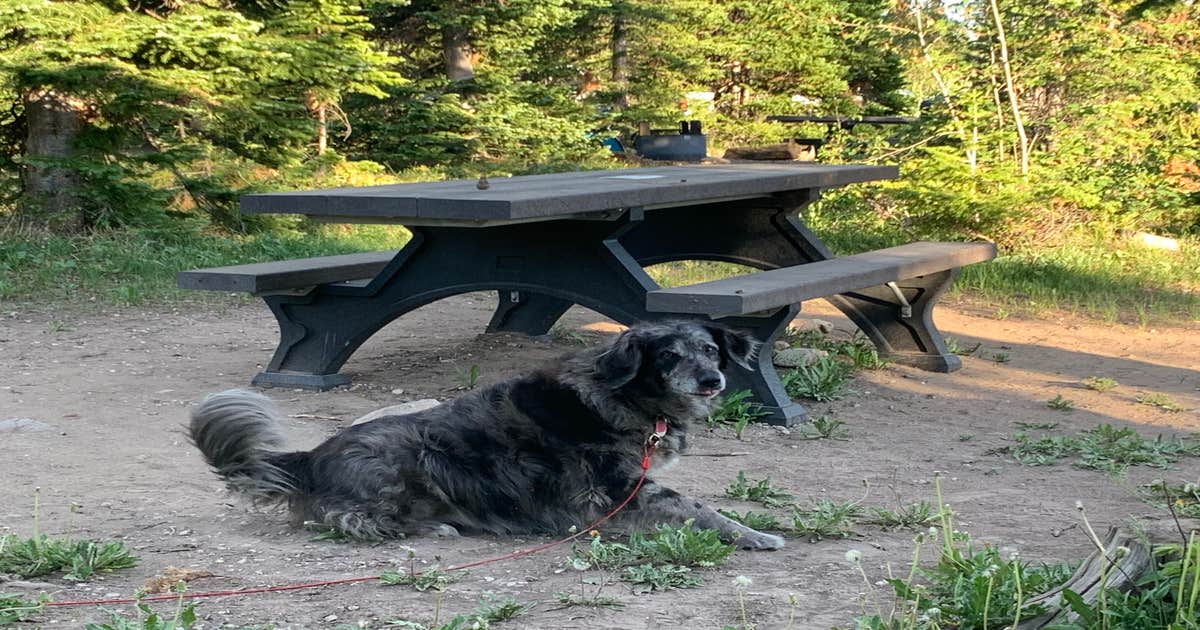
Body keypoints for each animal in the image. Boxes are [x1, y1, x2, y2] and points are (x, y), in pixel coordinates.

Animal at [188, 321, 787, 547]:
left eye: (709, 349)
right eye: (667, 355)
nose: (712, 379)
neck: (627, 395)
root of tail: (311, 457)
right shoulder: (624, 489)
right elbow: (698, 508)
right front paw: (753, 535)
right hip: (411, 458)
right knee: (353, 520)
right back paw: (433, 527)